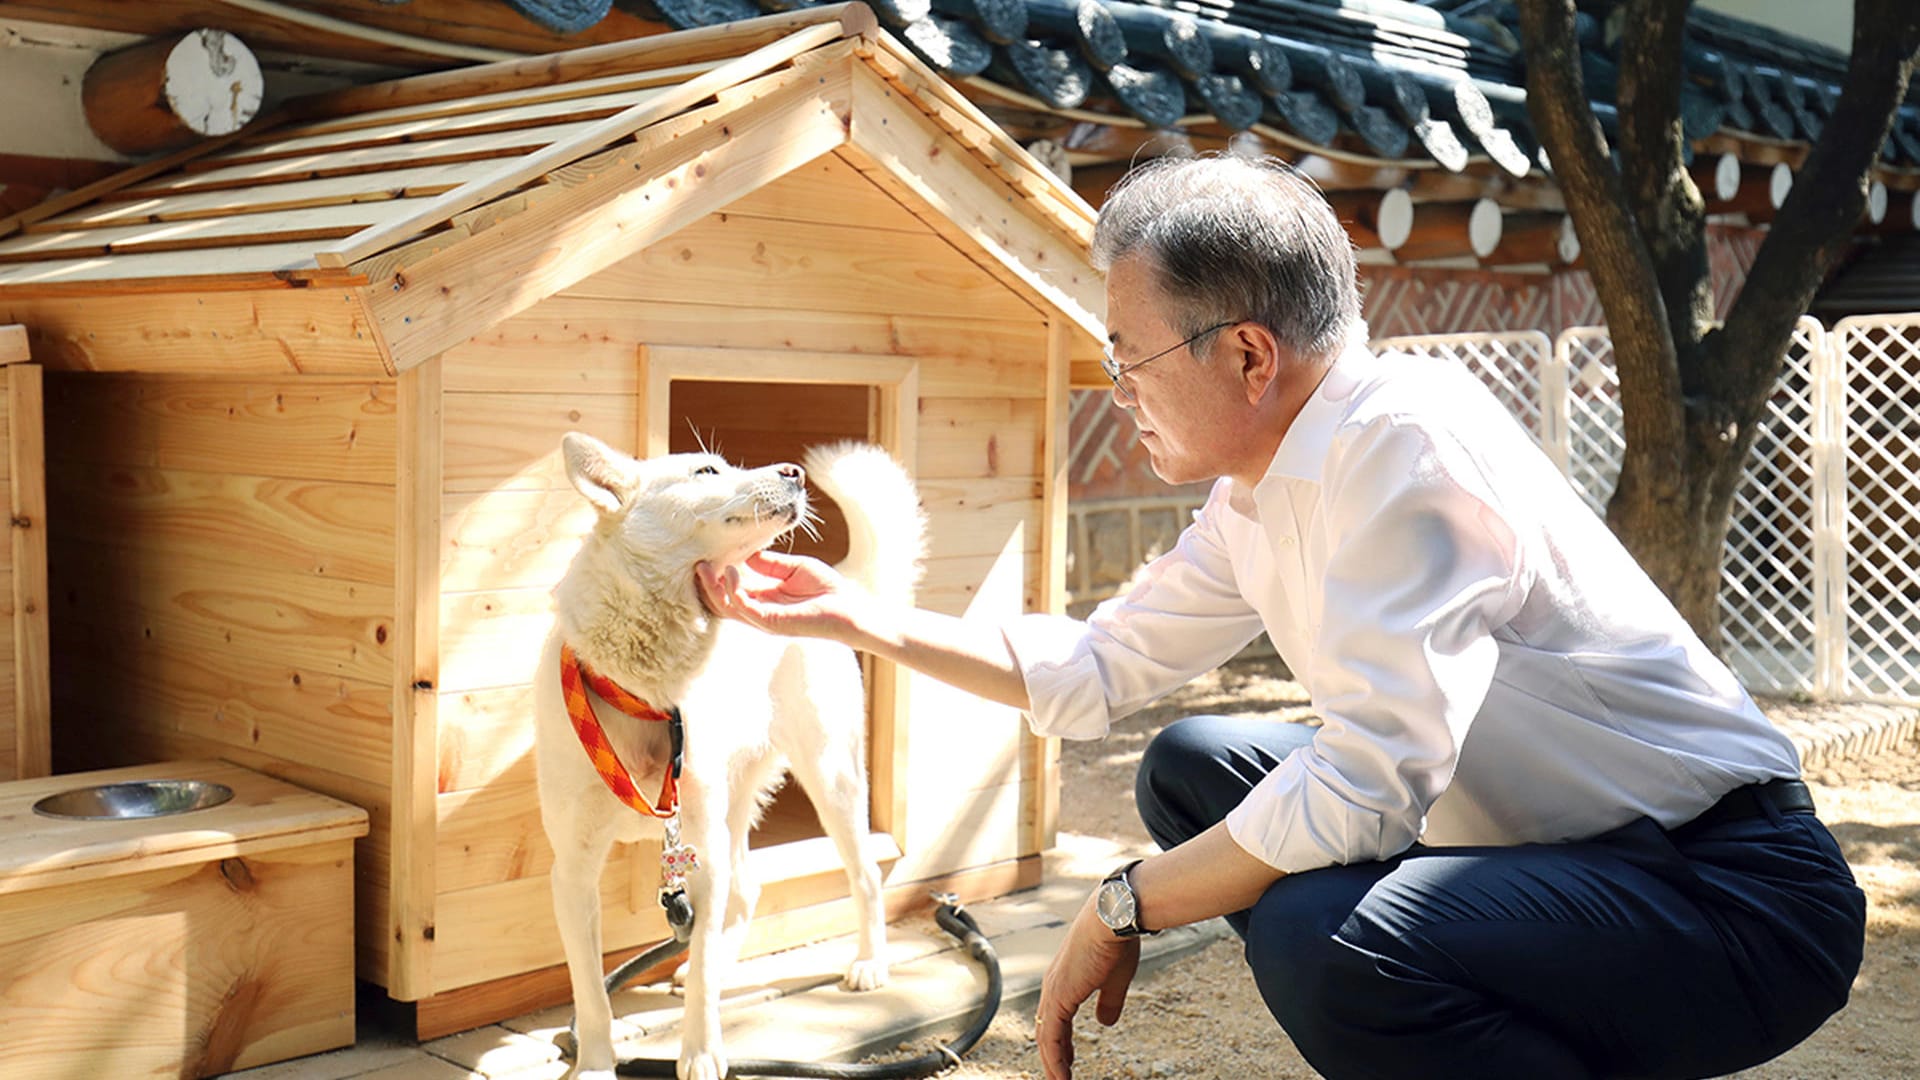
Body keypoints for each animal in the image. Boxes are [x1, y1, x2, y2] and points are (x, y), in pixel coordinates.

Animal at [533, 430, 921, 1076]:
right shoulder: (573, 871)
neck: (647, 689)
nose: (793, 472)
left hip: (830, 778)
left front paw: (700, 1052)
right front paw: (594, 1062)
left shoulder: (699, 853)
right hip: (736, 803)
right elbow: (590, 993)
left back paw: (869, 964)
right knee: (747, 890)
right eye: (706, 470)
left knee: (864, 873)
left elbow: (701, 983)